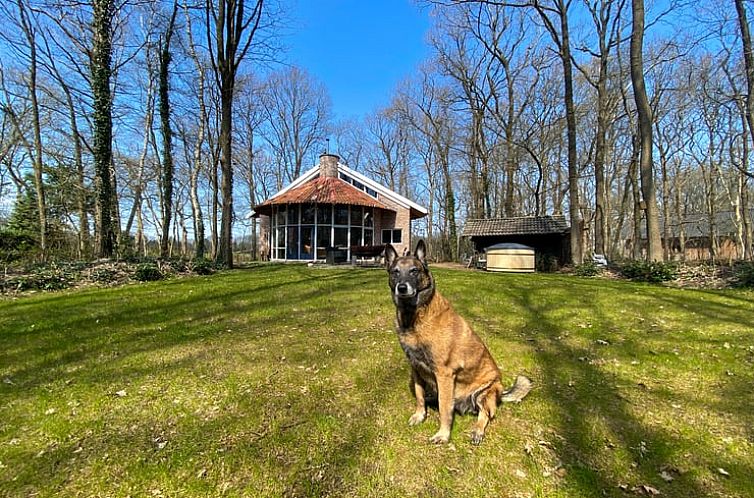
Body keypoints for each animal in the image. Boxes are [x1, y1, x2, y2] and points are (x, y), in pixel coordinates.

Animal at [384, 239, 532, 446]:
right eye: (395, 272)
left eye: (414, 271)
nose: (402, 288)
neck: (413, 317)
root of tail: (501, 392)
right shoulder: (416, 368)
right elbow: (420, 396)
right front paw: (420, 415)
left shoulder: (444, 374)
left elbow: (445, 409)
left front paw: (443, 435)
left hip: (484, 393)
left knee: (485, 414)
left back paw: (477, 431)